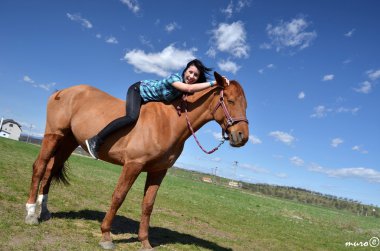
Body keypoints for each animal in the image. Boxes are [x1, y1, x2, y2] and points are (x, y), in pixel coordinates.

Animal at [24, 71, 249, 250]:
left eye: (245, 104)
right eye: (229, 100)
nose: (242, 136)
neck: (168, 123)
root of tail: (62, 91)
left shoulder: (158, 171)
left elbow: (148, 205)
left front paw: (145, 242)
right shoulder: (133, 165)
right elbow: (118, 197)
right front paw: (106, 235)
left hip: (68, 141)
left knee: (50, 170)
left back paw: (44, 211)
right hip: (53, 135)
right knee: (39, 167)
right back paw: (31, 214)